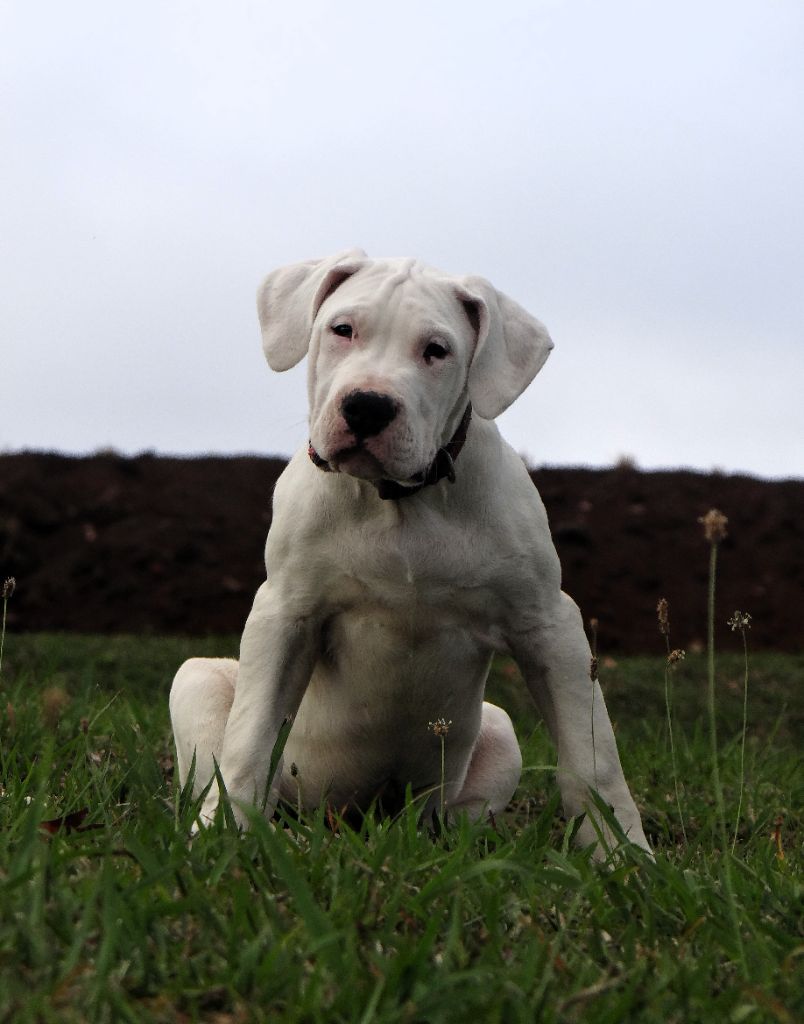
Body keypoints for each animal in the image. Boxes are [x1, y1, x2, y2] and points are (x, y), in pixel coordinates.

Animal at [171, 251, 651, 851]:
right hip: (196, 679)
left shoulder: (548, 623)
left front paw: (623, 853)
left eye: (436, 351)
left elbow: (592, 757)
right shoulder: (285, 613)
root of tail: (350, 820)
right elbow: (250, 734)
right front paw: (221, 840)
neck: (399, 503)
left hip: (497, 731)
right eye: (342, 329)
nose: (367, 407)